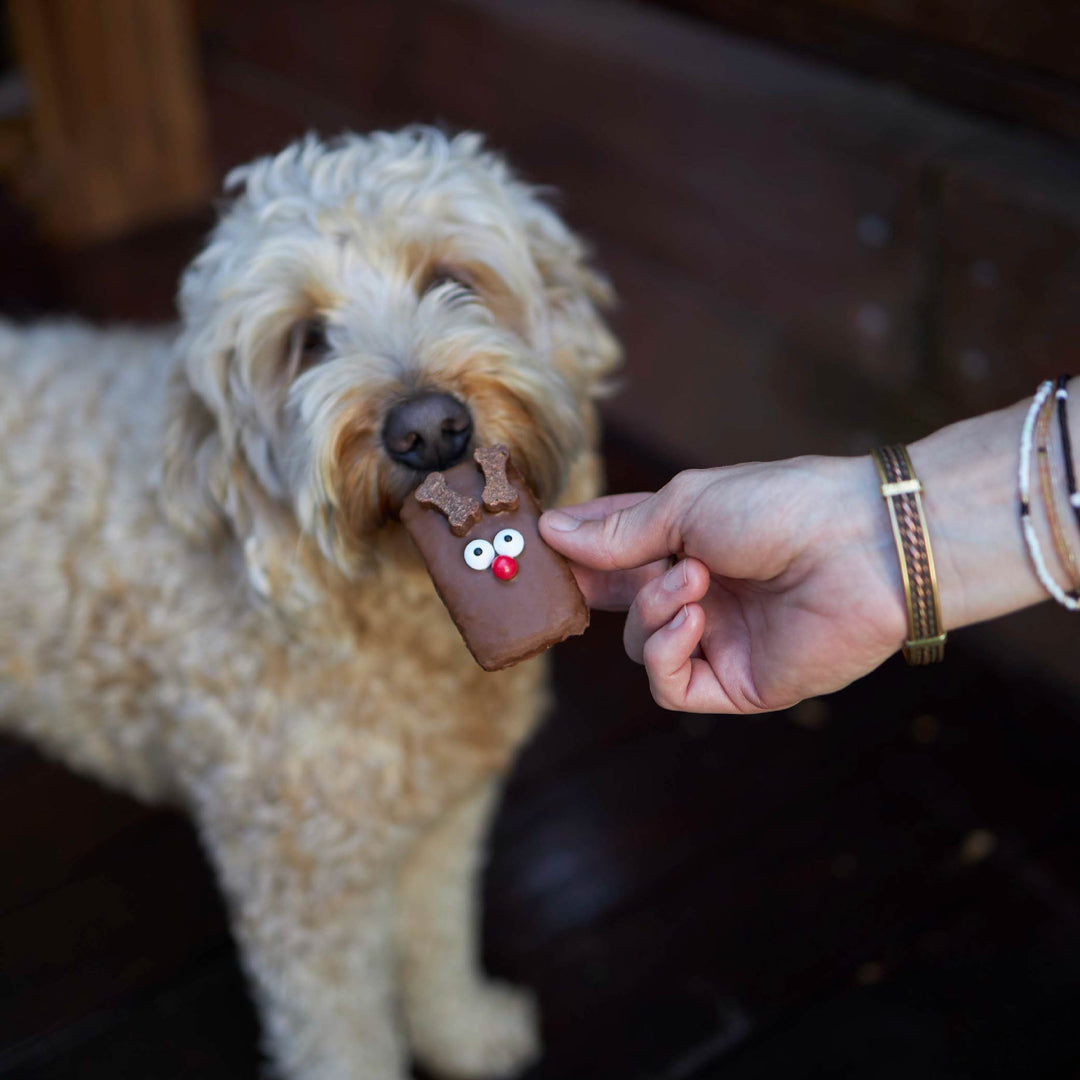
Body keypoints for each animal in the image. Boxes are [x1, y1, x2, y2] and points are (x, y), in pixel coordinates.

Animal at [0, 128, 622, 1080]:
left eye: (454, 279)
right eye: (307, 341)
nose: (429, 430)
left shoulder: (442, 822)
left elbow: (434, 940)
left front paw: (465, 1032)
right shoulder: (302, 886)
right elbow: (341, 1031)